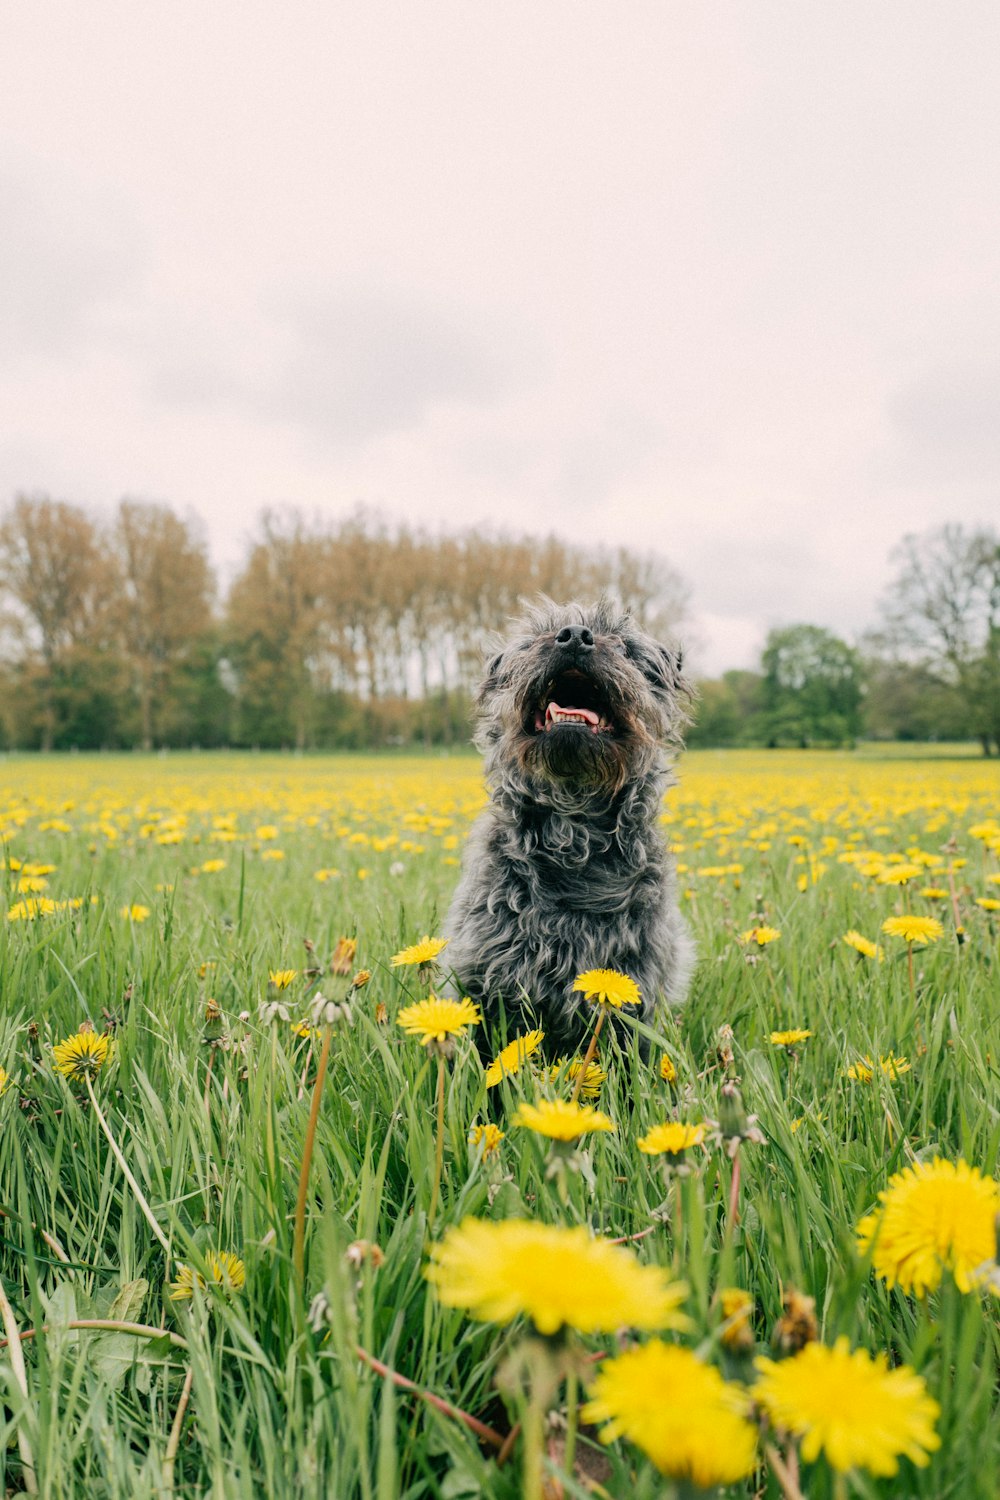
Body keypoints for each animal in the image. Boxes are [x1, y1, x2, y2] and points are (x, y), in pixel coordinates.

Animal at [446, 591, 695, 1050]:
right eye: (534, 639)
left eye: (624, 646)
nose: (576, 635)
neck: (574, 842)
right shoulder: (487, 985)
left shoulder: (636, 995)